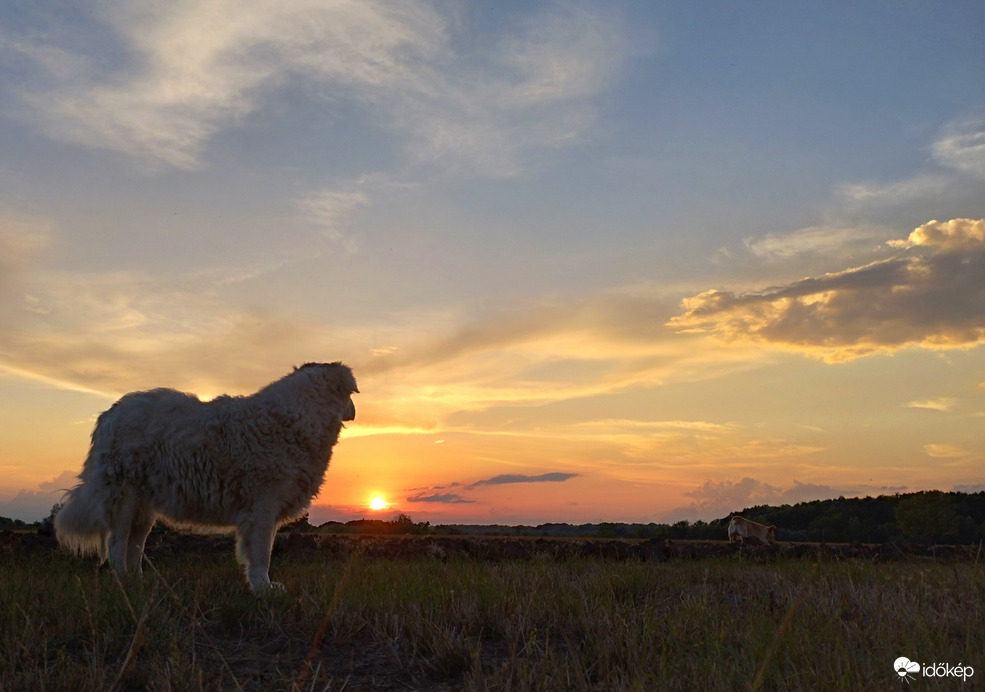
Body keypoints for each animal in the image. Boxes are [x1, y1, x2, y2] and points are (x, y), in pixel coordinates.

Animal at [53, 360, 358, 592]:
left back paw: (139, 582)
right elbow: (262, 555)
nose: (355, 411)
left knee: (134, 546)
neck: (299, 418)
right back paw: (125, 585)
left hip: (144, 507)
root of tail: (108, 415)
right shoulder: (261, 508)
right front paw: (264, 590)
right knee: (117, 544)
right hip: (124, 499)